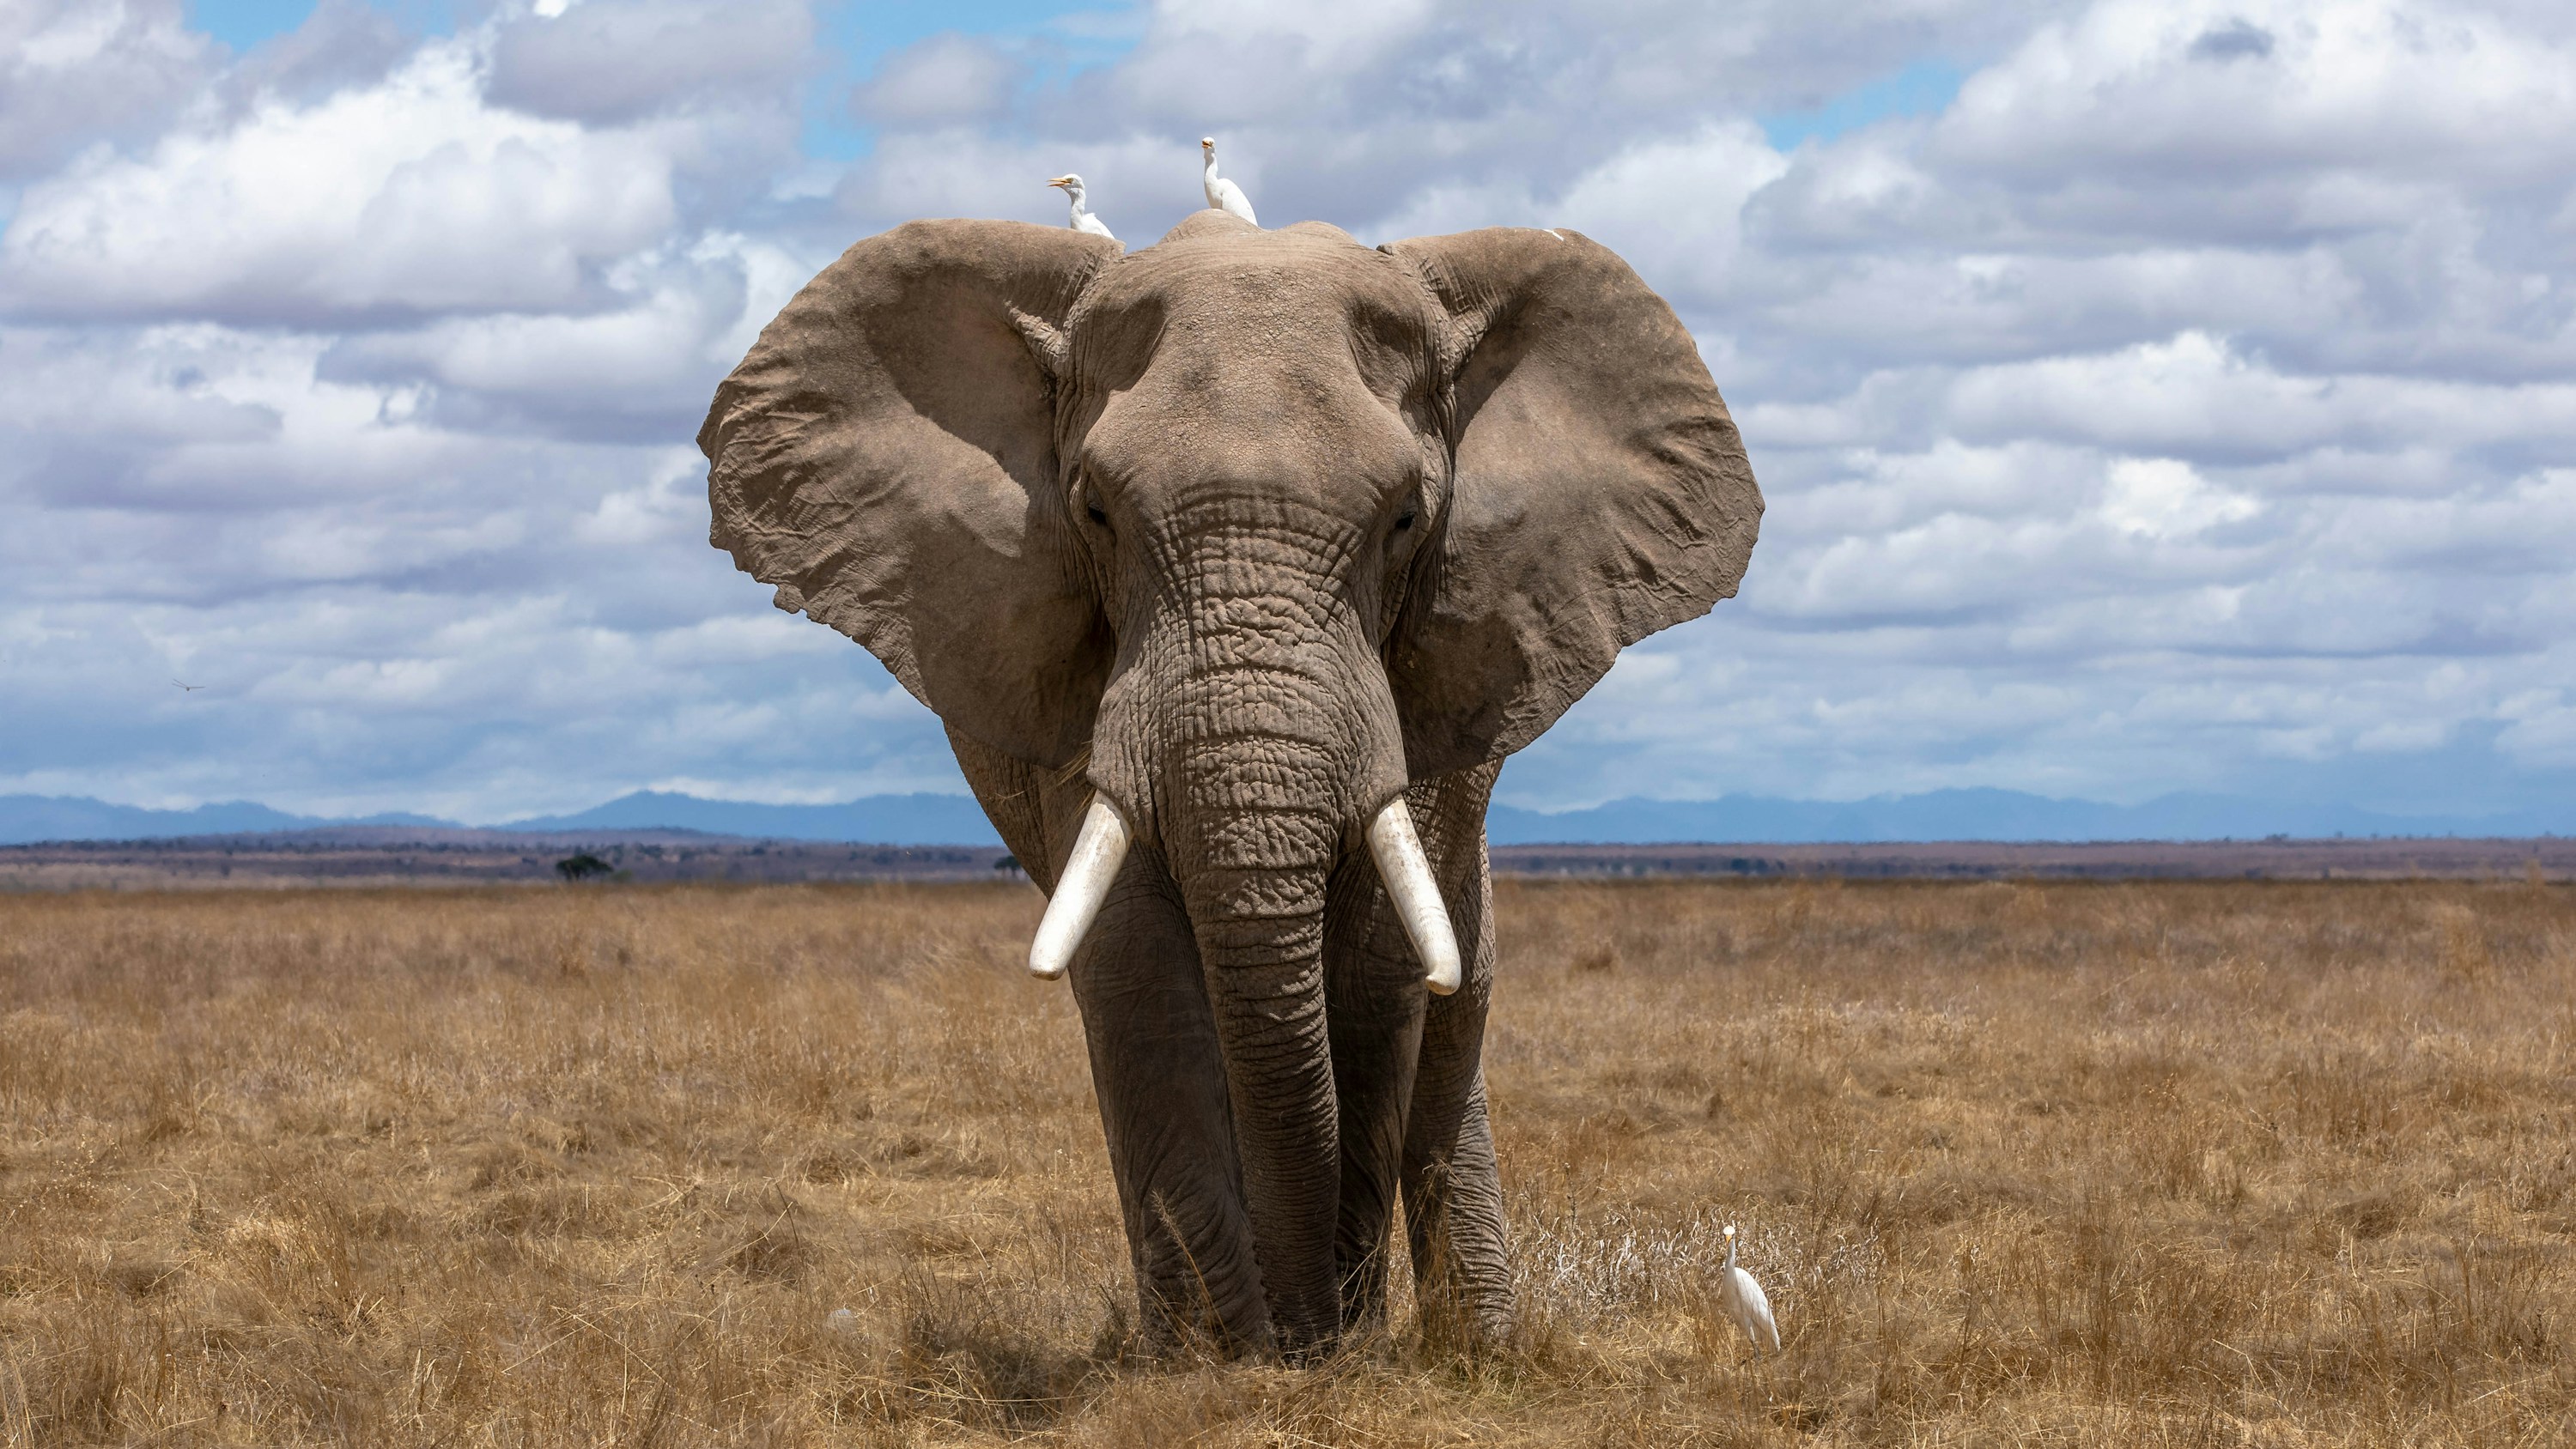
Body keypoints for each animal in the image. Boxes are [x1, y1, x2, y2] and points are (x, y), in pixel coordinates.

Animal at [697, 208, 1761, 1357]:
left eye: (1405, 519)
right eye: (1096, 512)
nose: (1306, 1335)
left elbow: (1380, 967)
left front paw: (1330, 1346)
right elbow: (1136, 962)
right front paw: (1219, 1360)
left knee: (1455, 1000)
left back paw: (1479, 1346)